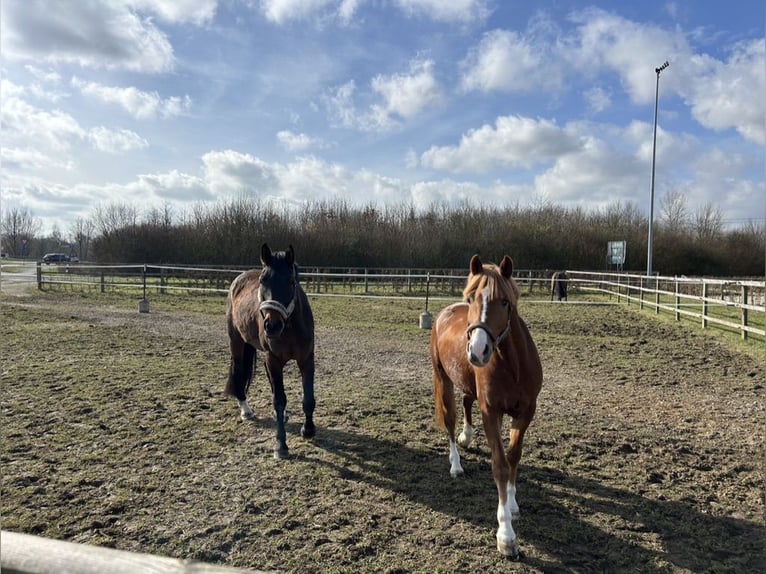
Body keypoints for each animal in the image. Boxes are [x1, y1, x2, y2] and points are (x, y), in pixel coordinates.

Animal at [225, 245, 316, 462]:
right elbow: (279, 400)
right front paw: (280, 446)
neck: (290, 328)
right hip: (237, 344)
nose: (272, 326)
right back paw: (246, 410)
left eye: (291, 281)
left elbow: (308, 397)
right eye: (263, 281)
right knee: (239, 373)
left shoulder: (306, 359)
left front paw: (308, 430)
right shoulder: (273, 360)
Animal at [432, 254, 544, 560]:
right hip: (443, 379)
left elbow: (514, 456)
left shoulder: (525, 413)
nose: (477, 350)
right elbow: (500, 465)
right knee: (450, 419)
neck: (512, 365)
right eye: (472, 298)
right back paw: (456, 464)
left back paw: (467, 436)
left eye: (504, 302)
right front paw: (506, 535)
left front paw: (513, 503)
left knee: (466, 401)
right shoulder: (491, 412)